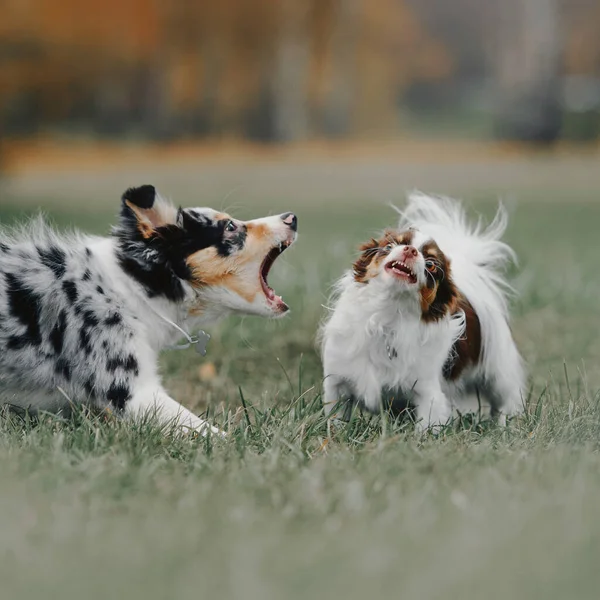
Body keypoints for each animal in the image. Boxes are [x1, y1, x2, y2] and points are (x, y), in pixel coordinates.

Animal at [322, 192, 524, 432]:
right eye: (390, 246)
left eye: (431, 265)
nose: (410, 250)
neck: (389, 316)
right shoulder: (337, 382)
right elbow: (335, 420)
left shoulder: (427, 393)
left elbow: (426, 426)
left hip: (498, 374)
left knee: (506, 400)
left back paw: (506, 426)